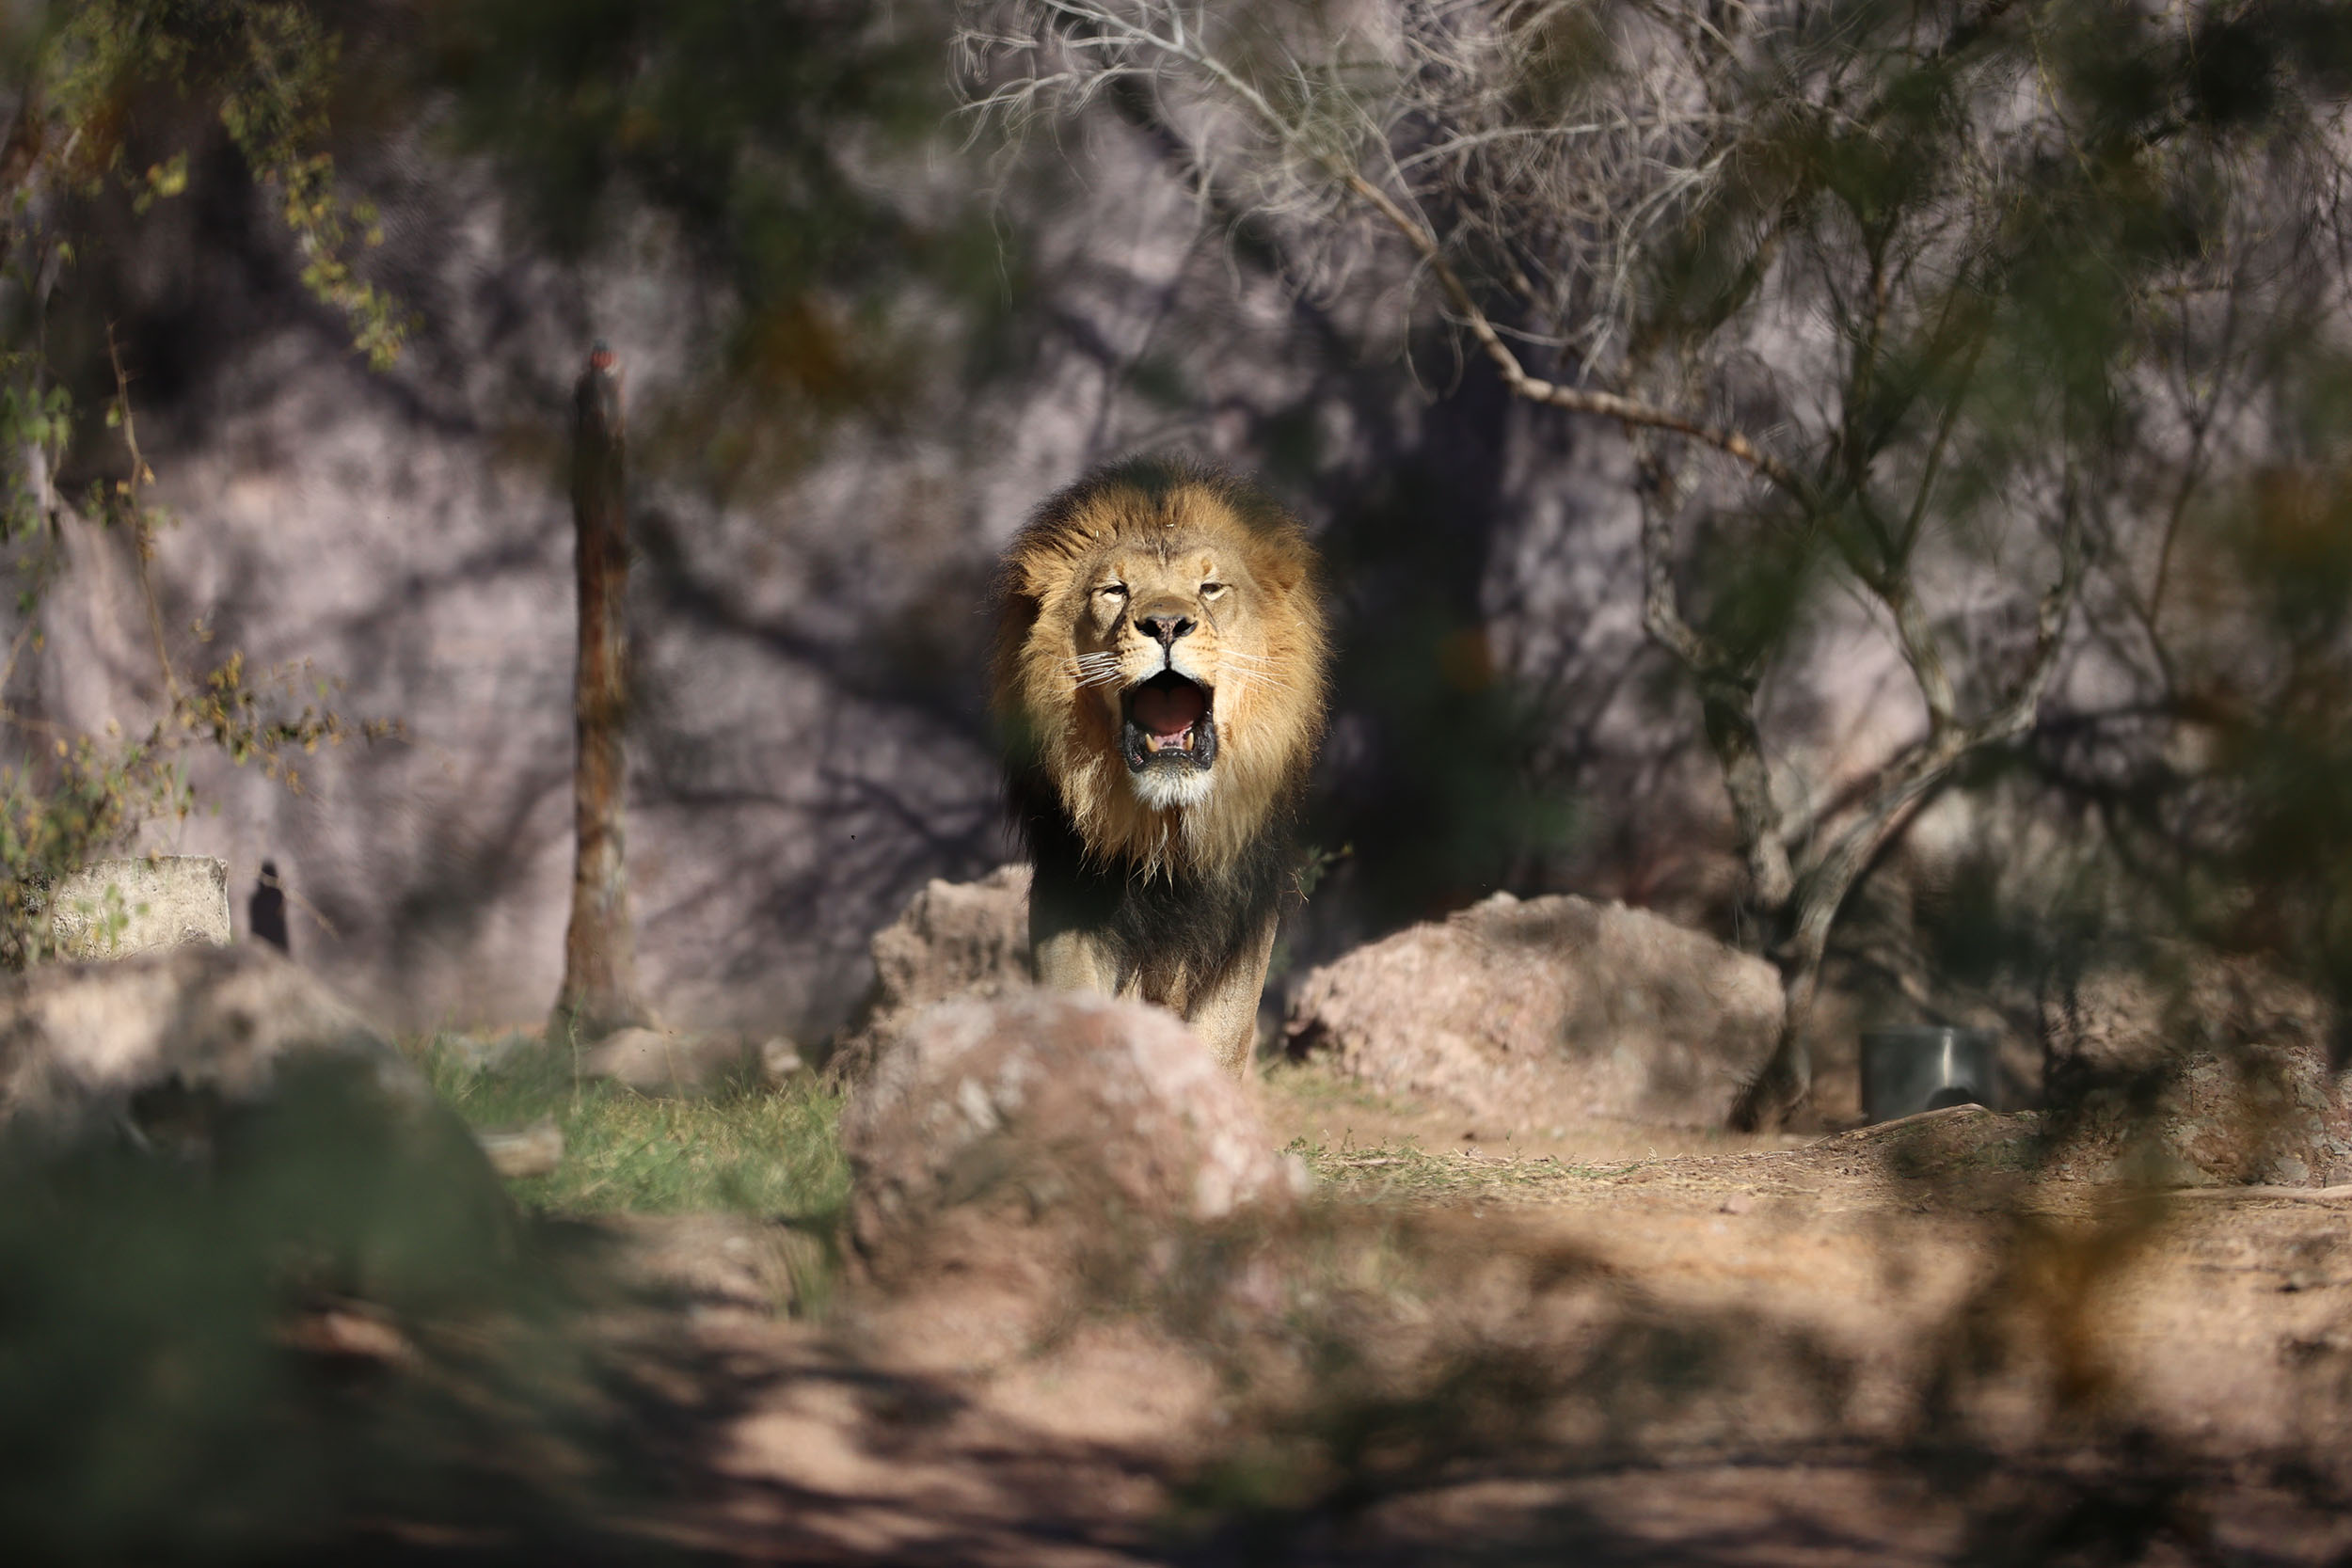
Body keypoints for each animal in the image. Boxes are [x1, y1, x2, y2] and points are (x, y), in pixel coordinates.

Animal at [988, 446, 1327, 1071]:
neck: (1166, 836)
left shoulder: (1242, 916)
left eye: (1211, 588)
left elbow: (1219, 1040)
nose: (1166, 623)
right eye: (1115, 591)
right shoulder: (1071, 897)